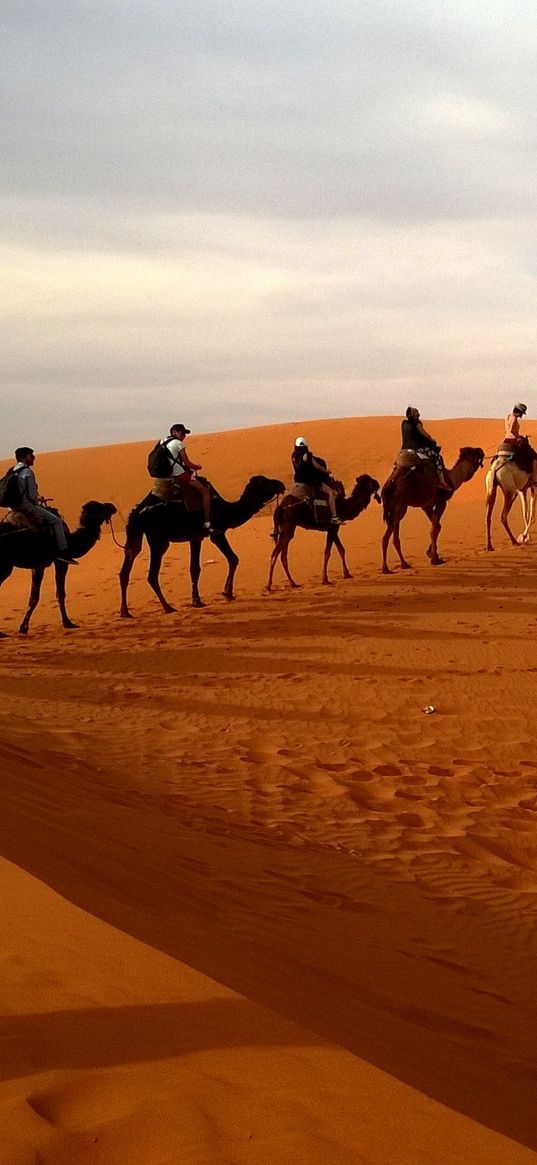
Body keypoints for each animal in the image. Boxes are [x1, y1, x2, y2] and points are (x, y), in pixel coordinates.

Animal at [0, 496, 116, 633]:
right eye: (99, 507)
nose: (112, 506)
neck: (70, 541)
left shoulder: (47, 564)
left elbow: (55, 594)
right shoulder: (52, 563)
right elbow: (42, 596)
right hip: (5, 566)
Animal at [118, 472, 284, 619]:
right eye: (265, 482)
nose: (281, 484)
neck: (224, 510)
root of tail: (137, 513)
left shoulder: (195, 538)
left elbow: (195, 568)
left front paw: (198, 600)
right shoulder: (216, 533)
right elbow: (233, 559)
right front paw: (226, 594)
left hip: (135, 537)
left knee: (126, 569)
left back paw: (125, 612)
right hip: (158, 541)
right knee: (152, 575)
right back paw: (167, 607)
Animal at [379, 445, 484, 573]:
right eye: (474, 452)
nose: (481, 450)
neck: (451, 479)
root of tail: (389, 485)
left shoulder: (426, 505)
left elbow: (437, 526)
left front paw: (430, 553)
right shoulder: (441, 501)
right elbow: (434, 529)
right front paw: (435, 559)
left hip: (395, 508)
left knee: (395, 537)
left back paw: (404, 564)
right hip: (400, 507)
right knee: (386, 537)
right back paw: (386, 569)